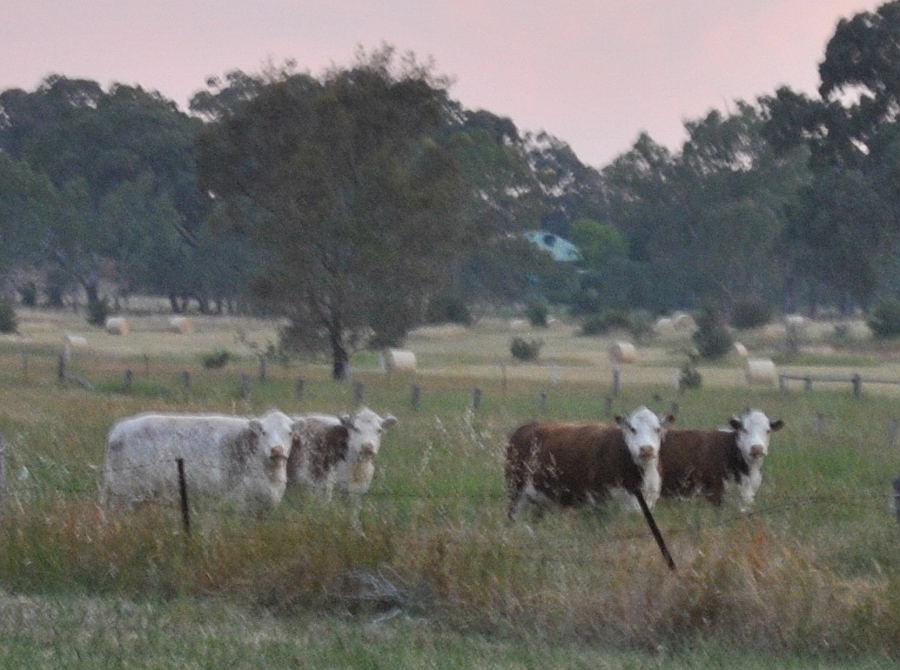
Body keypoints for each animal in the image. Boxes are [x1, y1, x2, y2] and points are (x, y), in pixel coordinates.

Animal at [101, 410, 303, 512]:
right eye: (263, 432)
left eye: (289, 433)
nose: (276, 449)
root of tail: (119, 429)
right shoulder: (238, 502)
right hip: (124, 493)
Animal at [505, 406, 674, 521]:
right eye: (633, 429)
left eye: (657, 429)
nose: (646, 449)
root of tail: (526, 427)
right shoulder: (600, 501)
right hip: (516, 491)